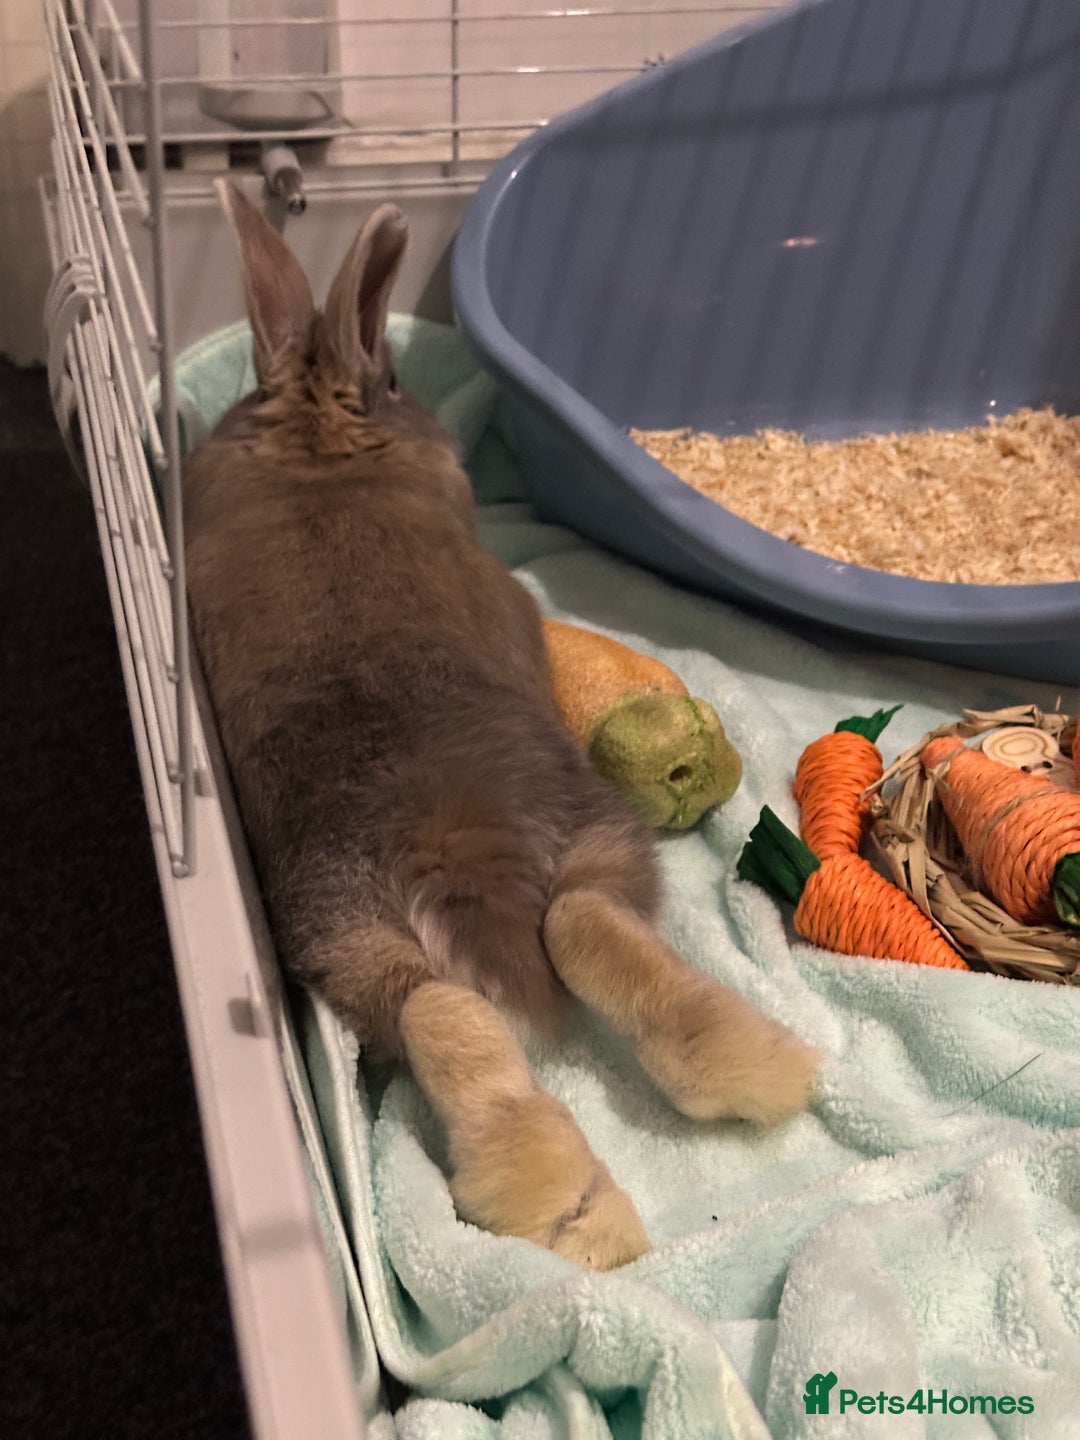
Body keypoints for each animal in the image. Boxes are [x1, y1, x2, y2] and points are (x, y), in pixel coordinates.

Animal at [183, 181, 819, 1271]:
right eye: (397, 379)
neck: (319, 438)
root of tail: (450, 835)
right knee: (520, 962)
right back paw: (612, 1186)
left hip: (378, 926)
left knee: (511, 962)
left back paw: (684, 1120)